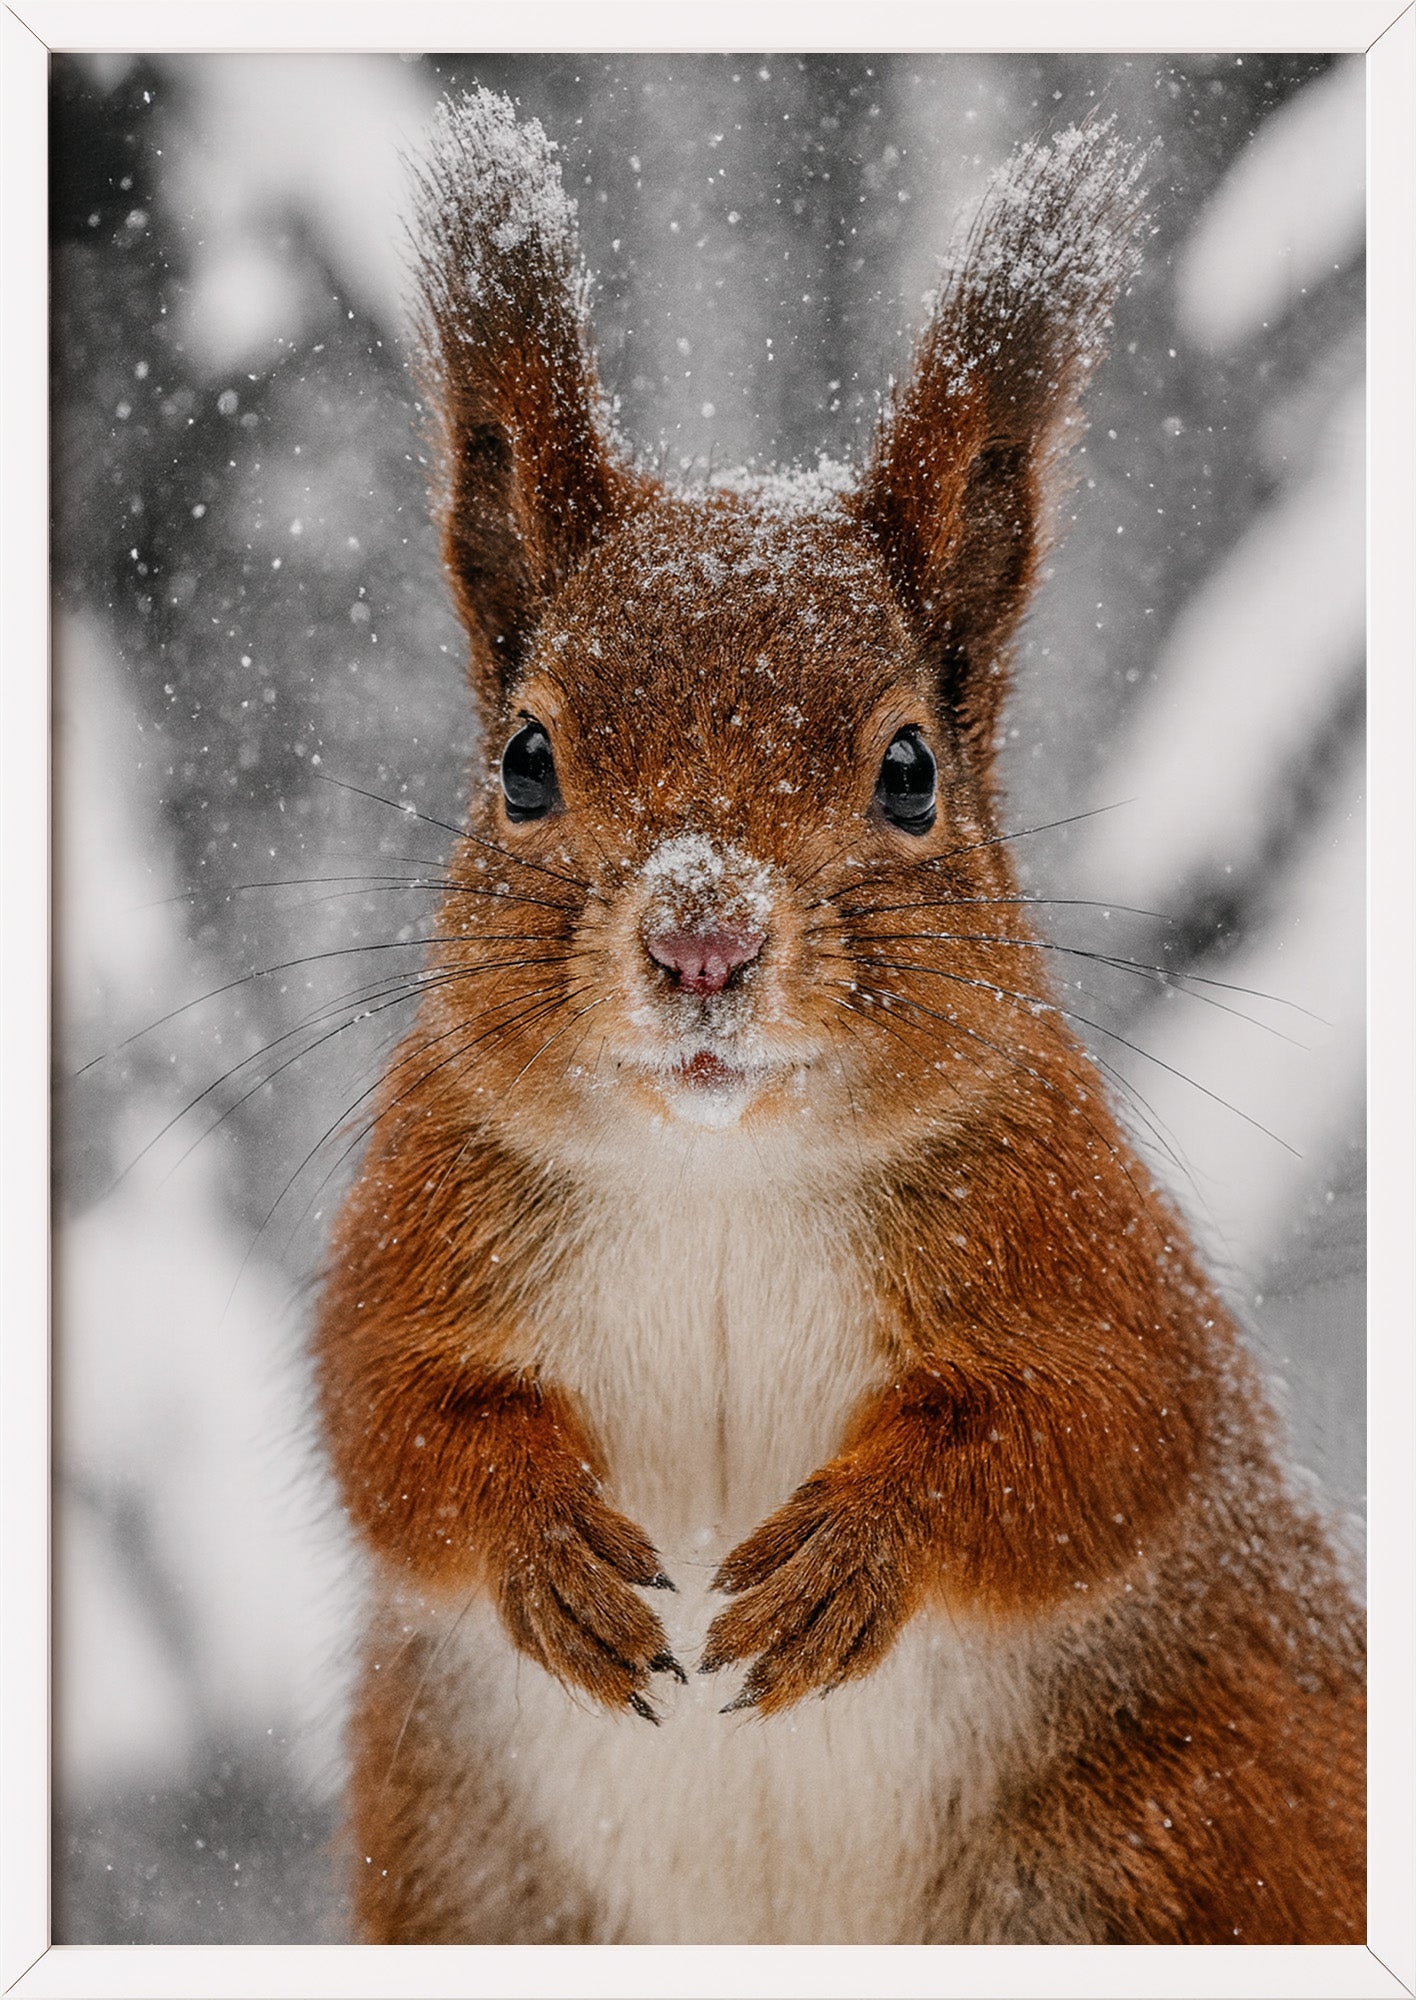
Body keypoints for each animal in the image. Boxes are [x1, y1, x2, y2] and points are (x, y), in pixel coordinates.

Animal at [312, 91, 1364, 1946]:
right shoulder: (428, 1207)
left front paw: (854, 1557)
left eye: (910, 772)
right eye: (524, 762)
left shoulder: (1076, 1233)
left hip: (1167, 1842)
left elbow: (1101, 1437)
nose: (704, 942)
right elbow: (389, 1415)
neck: (719, 1175)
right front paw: (540, 1545)